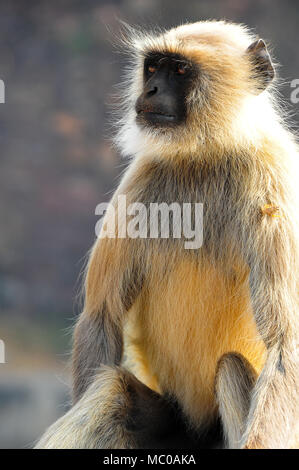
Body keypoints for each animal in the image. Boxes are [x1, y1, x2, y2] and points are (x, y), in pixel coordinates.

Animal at [36, 20, 298, 450]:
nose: (151, 91)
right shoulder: (142, 180)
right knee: (113, 389)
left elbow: (284, 344)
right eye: (153, 67)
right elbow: (101, 316)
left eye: (179, 70)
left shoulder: (275, 180)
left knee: (229, 368)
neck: (205, 155)